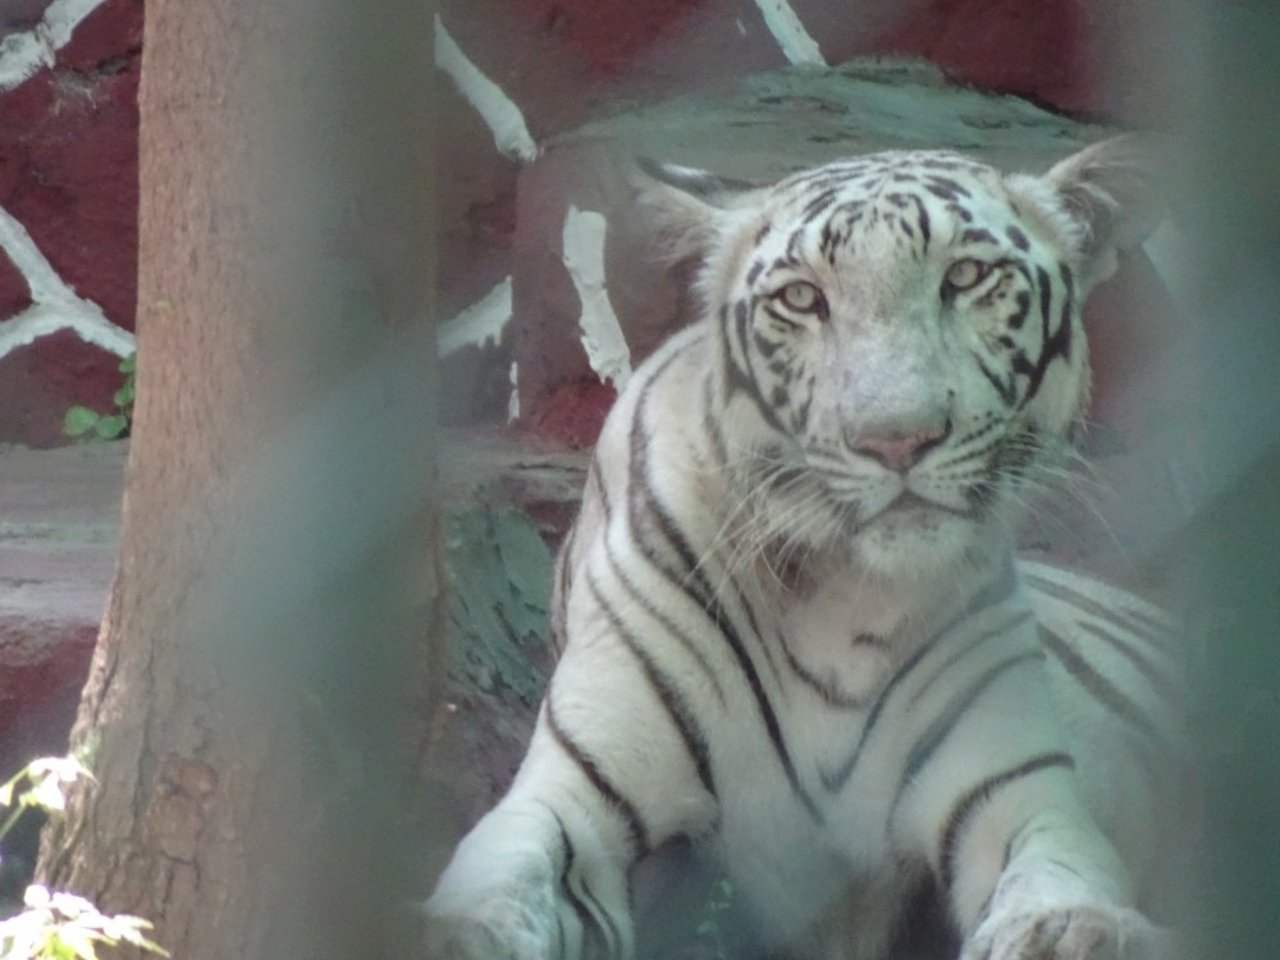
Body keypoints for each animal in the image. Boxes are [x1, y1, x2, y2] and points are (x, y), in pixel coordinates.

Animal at [427, 136, 1187, 960]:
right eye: (801, 298)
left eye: (965, 277)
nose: (896, 439)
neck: (848, 595)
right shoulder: (578, 791)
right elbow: (494, 891)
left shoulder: (1015, 792)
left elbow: (1056, 875)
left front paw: (1071, 932)